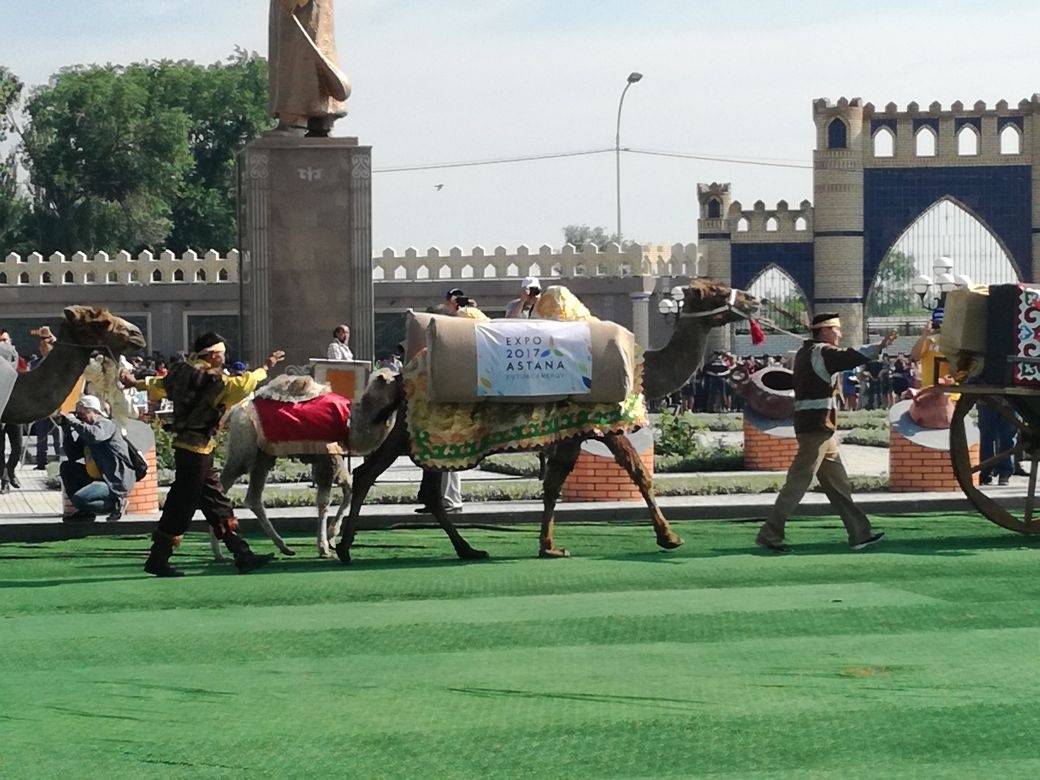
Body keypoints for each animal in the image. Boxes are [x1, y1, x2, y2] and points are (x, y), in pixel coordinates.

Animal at [328, 278, 761, 565]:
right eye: (715, 291)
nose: (754, 300)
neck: (642, 367)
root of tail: (403, 375)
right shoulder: (597, 422)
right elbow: (634, 471)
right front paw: (669, 537)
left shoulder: (577, 430)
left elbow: (555, 482)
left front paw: (547, 544)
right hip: (422, 429)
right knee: (385, 477)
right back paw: (348, 547)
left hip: (413, 433)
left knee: (392, 481)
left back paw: (459, 548)